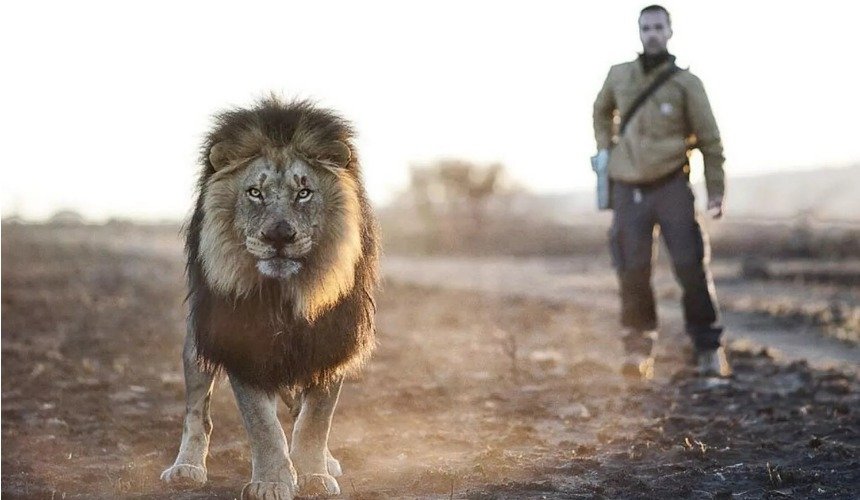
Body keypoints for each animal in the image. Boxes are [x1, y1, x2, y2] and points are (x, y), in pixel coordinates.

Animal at [160, 95, 380, 498]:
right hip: (197, 343)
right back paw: (186, 467)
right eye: (255, 192)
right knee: (197, 414)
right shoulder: (242, 345)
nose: (278, 235)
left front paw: (313, 475)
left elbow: (315, 420)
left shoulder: (331, 342)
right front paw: (272, 481)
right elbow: (262, 426)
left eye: (304, 192)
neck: (286, 294)